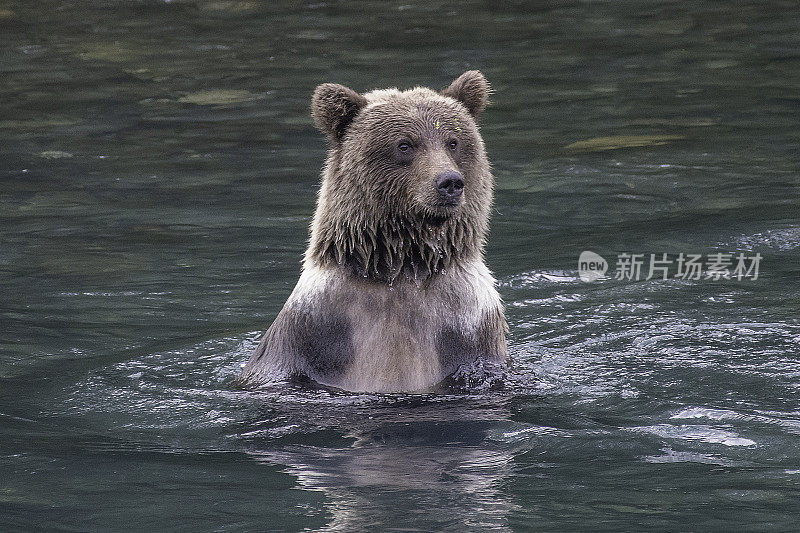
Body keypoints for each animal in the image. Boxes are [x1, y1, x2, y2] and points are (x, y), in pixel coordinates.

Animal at [241, 70, 510, 392]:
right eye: (405, 144)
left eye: (453, 141)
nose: (450, 182)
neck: (402, 267)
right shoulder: (315, 326)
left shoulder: (469, 328)